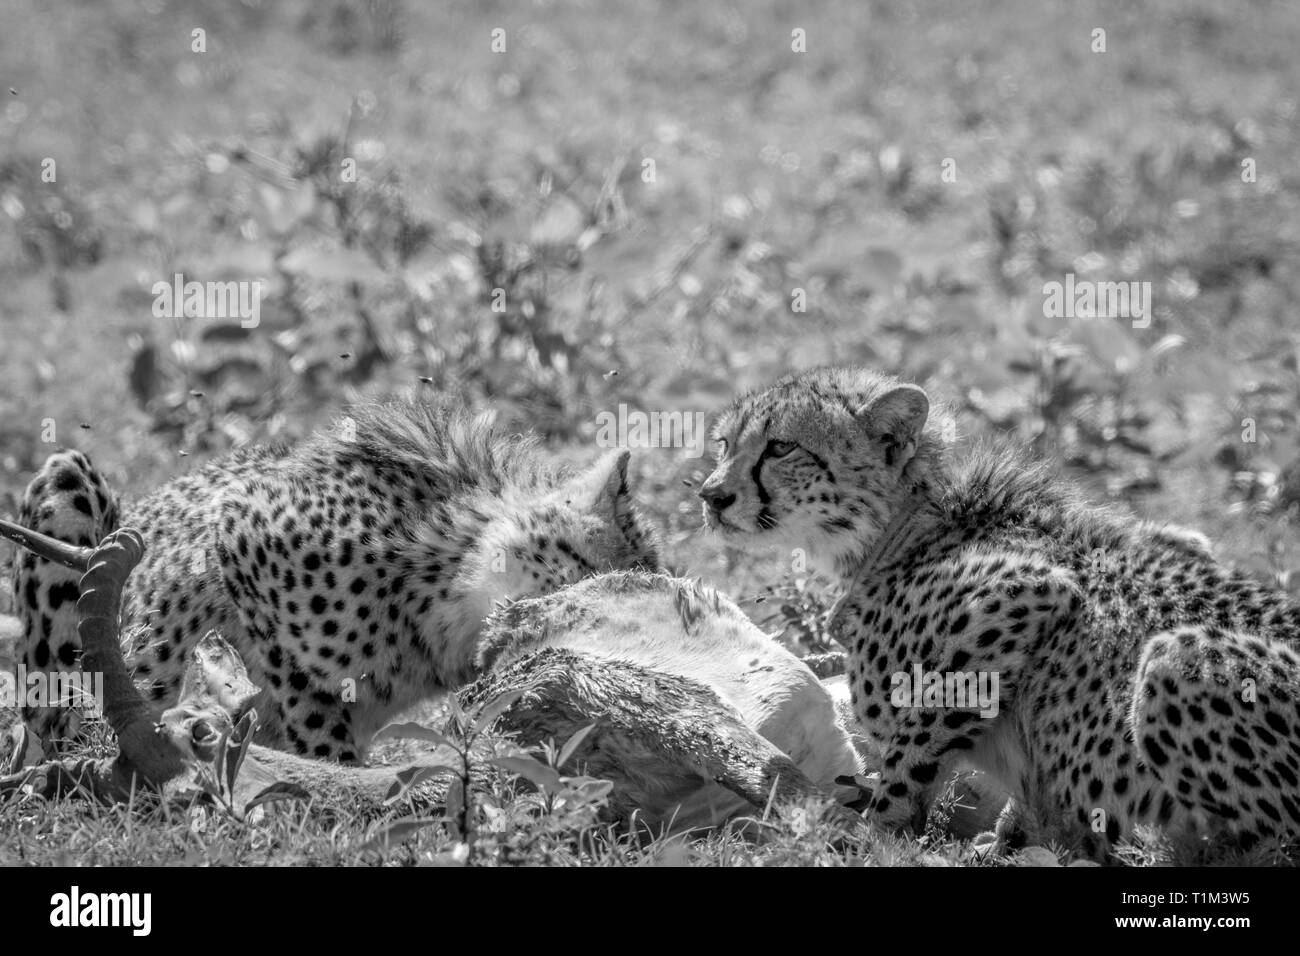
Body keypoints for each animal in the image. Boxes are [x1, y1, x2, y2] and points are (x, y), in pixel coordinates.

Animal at [702, 369, 1300, 858]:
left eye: (781, 447)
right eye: (724, 445)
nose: (711, 496)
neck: (897, 528)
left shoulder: (1024, 596)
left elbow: (912, 749)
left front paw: (878, 834)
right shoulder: (1182, 542)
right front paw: (1012, 838)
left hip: (1174, 656)